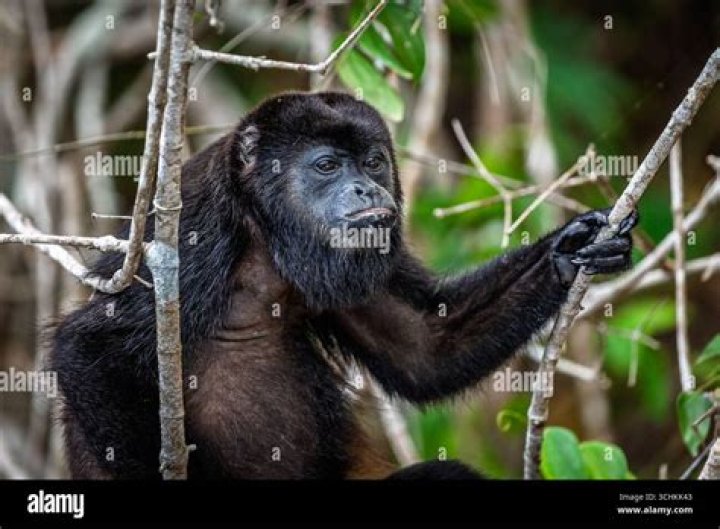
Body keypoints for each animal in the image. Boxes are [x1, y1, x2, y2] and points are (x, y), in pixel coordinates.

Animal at [51, 91, 638, 479]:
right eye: (328, 166)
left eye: (373, 161)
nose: (367, 187)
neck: (266, 237)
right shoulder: (195, 231)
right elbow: (89, 344)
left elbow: (425, 350)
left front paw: (571, 247)